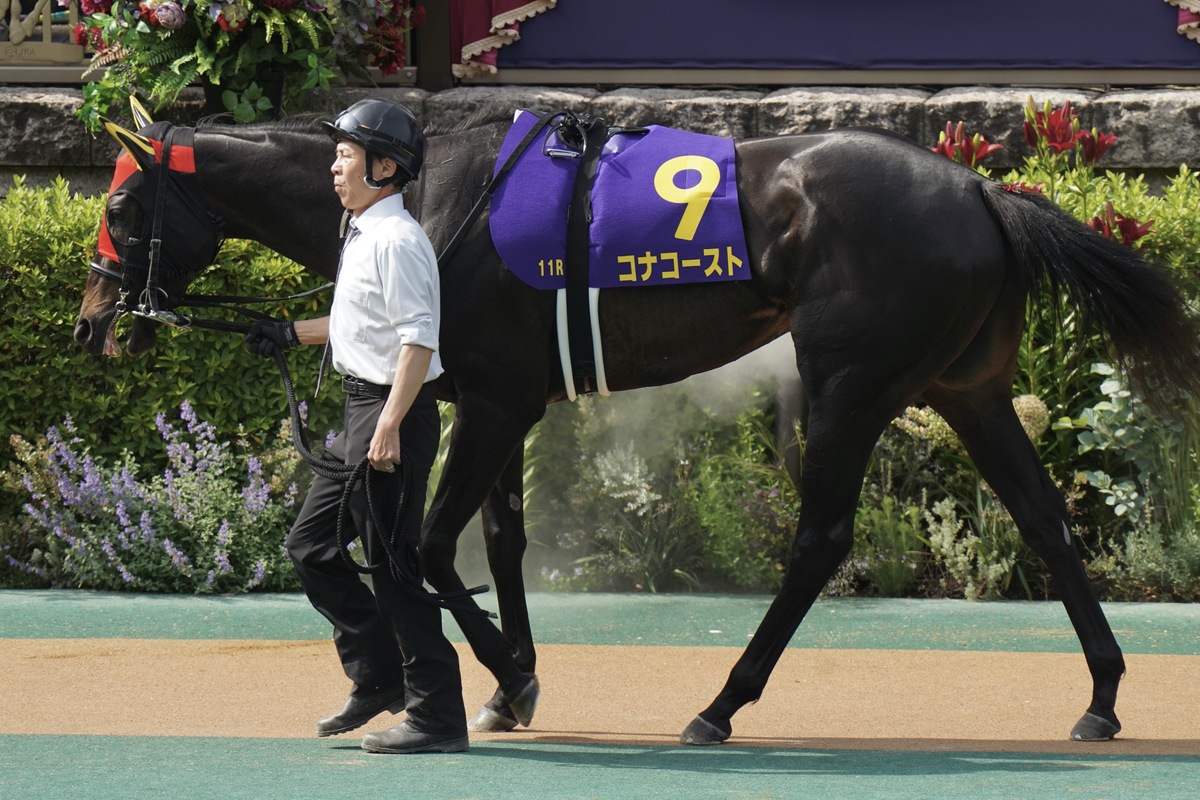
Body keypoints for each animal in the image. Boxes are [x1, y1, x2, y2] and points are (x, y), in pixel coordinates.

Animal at [75, 103, 1200, 748]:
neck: (432, 195)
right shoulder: (497, 399)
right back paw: (1102, 695)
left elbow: (431, 547)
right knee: (1046, 521)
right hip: (969, 388)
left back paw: (721, 703)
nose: (91, 321)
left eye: (123, 212)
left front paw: (506, 676)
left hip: (849, 383)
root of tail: (979, 186)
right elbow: (502, 540)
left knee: (820, 540)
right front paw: (501, 686)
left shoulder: (491, 402)